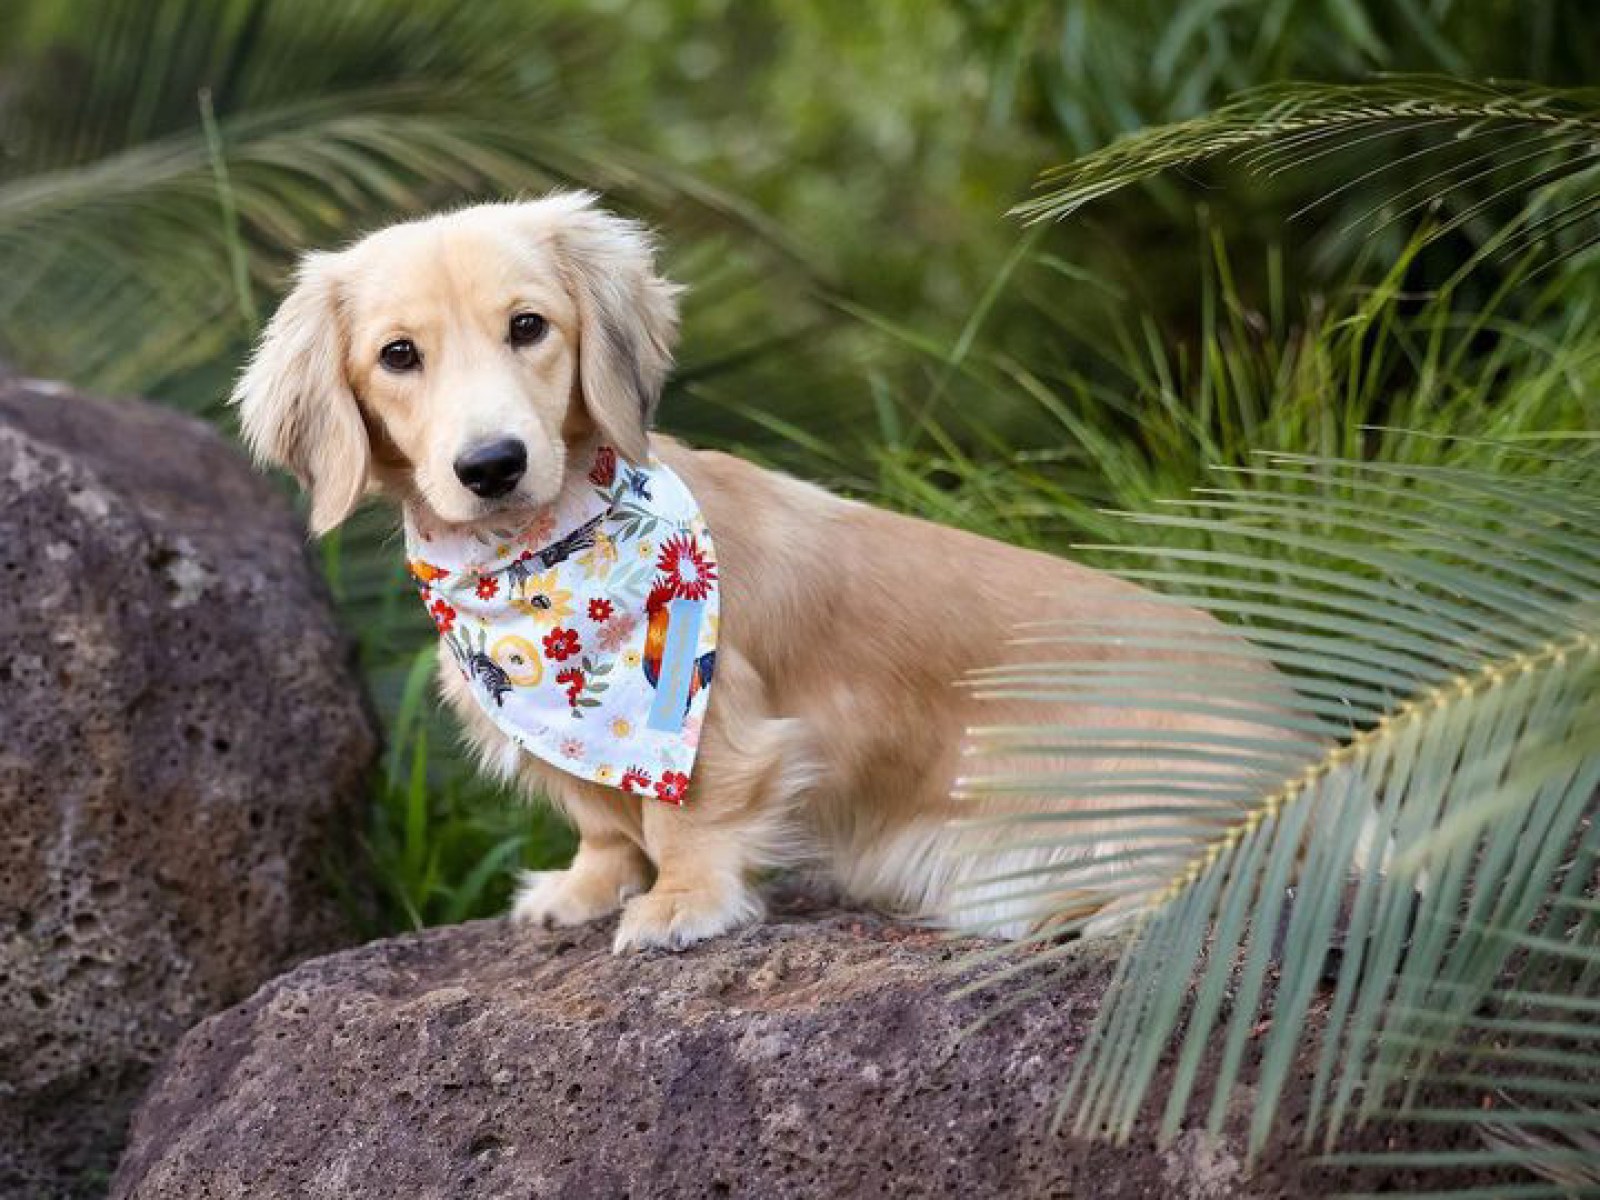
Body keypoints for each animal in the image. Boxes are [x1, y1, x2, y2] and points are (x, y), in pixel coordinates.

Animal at [232, 192, 1273, 953]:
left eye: (529, 327)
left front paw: (680, 903)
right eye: (398, 354)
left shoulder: (717, 726)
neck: (534, 568)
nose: (491, 465)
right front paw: (586, 886)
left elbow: (688, 818)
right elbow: (605, 822)